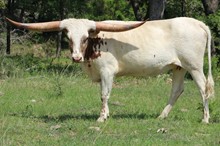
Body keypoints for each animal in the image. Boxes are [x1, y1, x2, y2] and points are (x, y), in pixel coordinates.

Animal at [6, 16, 213, 122]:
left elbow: (104, 95)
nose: (76, 57)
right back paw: (161, 116)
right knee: (177, 90)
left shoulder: (107, 72)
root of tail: (197, 22)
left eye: (85, 37)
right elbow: (103, 94)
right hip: (179, 67)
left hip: (194, 66)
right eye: (68, 37)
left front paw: (102, 117)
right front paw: (105, 114)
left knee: (203, 89)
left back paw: (205, 118)